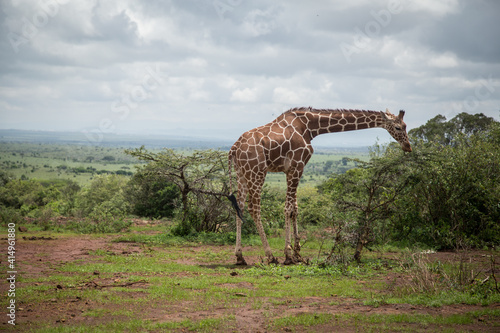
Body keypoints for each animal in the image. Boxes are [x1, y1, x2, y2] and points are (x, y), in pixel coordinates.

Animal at [229, 107, 412, 264]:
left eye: (405, 126)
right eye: (398, 127)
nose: (408, 146)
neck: (310, 127)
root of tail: (234, 148)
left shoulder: (295, 169)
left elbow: (295, 208)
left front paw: (298, 253)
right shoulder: (296, 166)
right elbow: (288, 208)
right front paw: (288, 254)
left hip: (242, 174)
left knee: (240, 207)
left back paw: (240, 256)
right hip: (257, 172)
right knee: (254, 208)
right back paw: (270, 256)